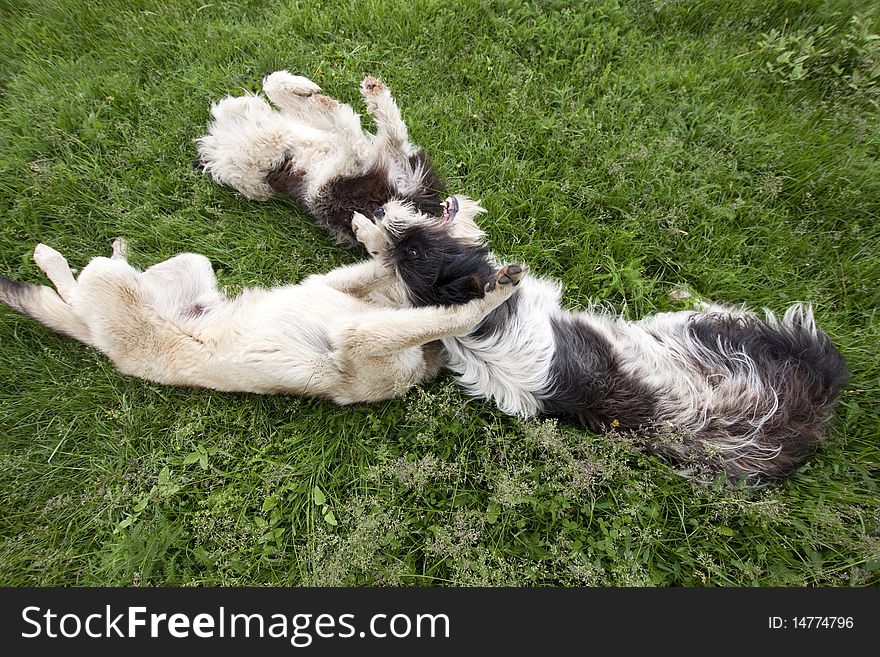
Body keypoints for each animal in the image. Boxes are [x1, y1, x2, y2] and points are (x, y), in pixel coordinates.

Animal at [0, 199, 524, 404]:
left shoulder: (357, 328)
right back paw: (85, 254)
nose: (382, 207)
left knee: (78, 297)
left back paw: (81, 256)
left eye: (421, 249)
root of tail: (108, 348)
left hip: (149, 277)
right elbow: (385, 269)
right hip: (166, 271)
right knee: (77, 295)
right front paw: (369, 231)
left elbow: (444, 315)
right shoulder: (342, 297)